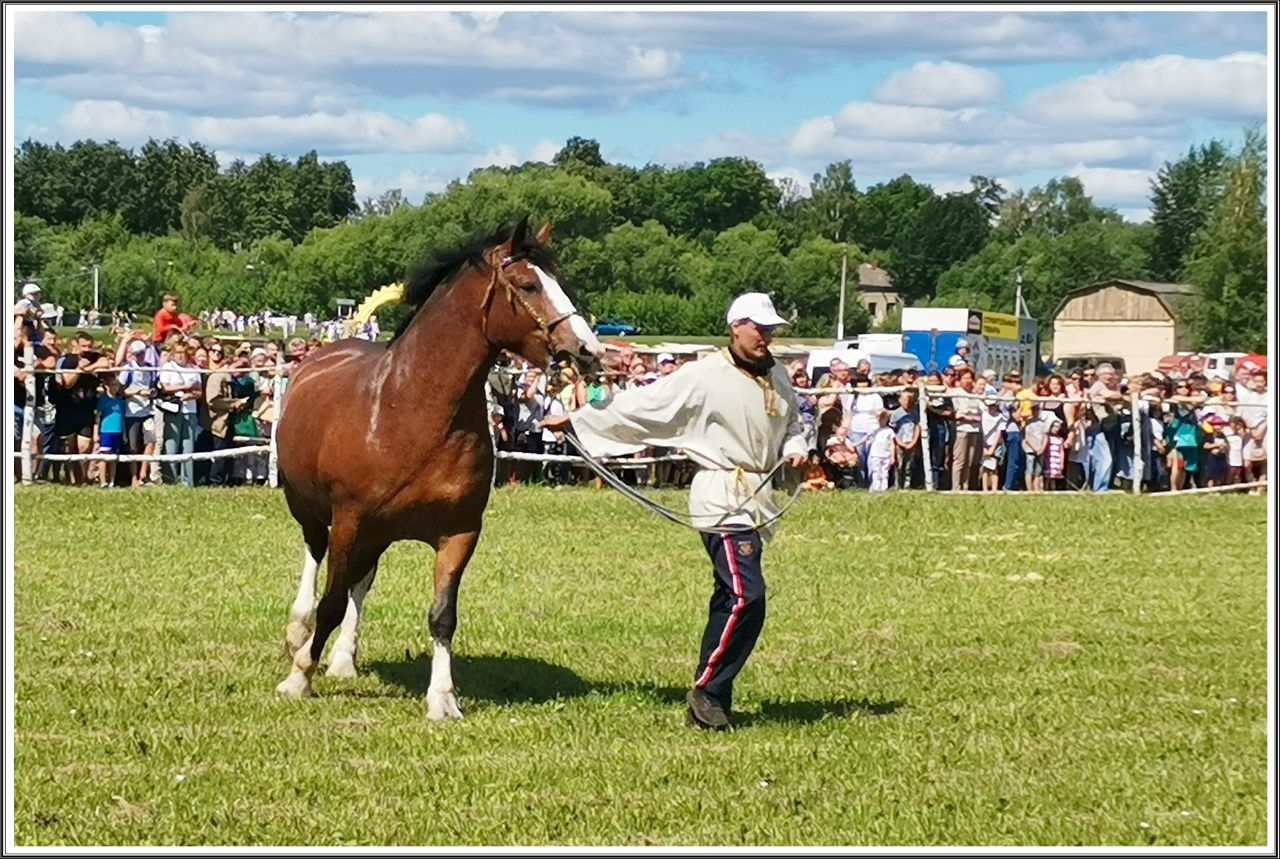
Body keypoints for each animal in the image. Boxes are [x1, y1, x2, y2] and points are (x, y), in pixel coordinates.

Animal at [272, 216, 601, 716]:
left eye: (559, 281)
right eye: (528, 284)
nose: (587, 351)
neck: (411, 410)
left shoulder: (459, 533)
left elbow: (442, 616)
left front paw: (442, 699)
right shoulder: (348, 522)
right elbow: (330, 602)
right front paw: (298, 677)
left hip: (377, 534)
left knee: (360, 584)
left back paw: (345, 658)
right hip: (311, 509)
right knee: (315, 561)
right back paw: (298, 635)